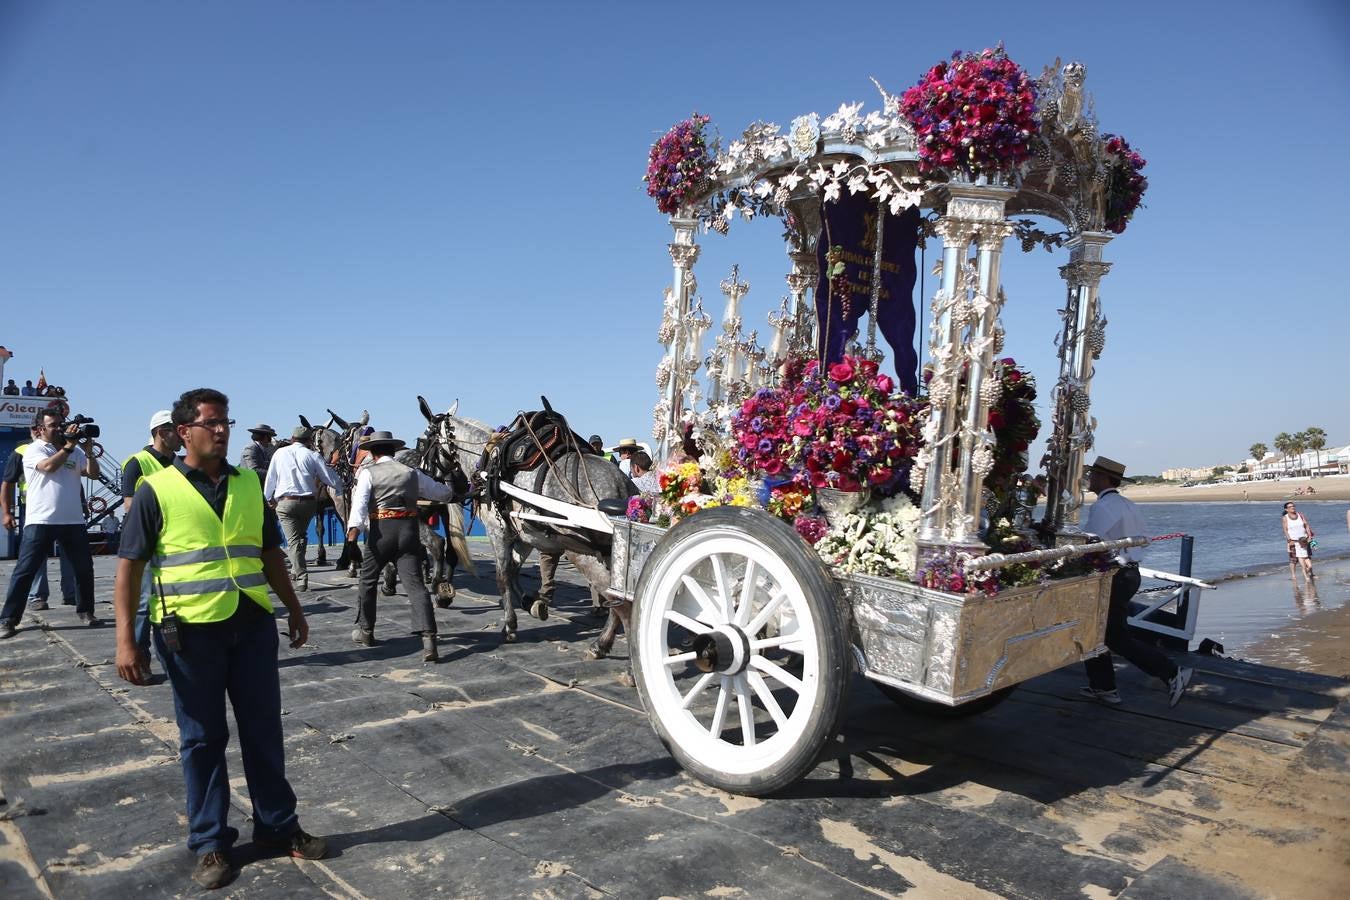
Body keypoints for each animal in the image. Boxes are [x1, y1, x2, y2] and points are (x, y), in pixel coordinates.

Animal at [410, 394, 637, 655]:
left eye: (423, 442)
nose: (422, 477)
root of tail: (620, 485)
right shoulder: (524, 535)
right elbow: (513, 571)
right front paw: (532, 603)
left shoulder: (497, 531)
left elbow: (502, 576)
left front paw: (510, 625)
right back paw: (603, 642)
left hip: (582, 551)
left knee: (619, 600)